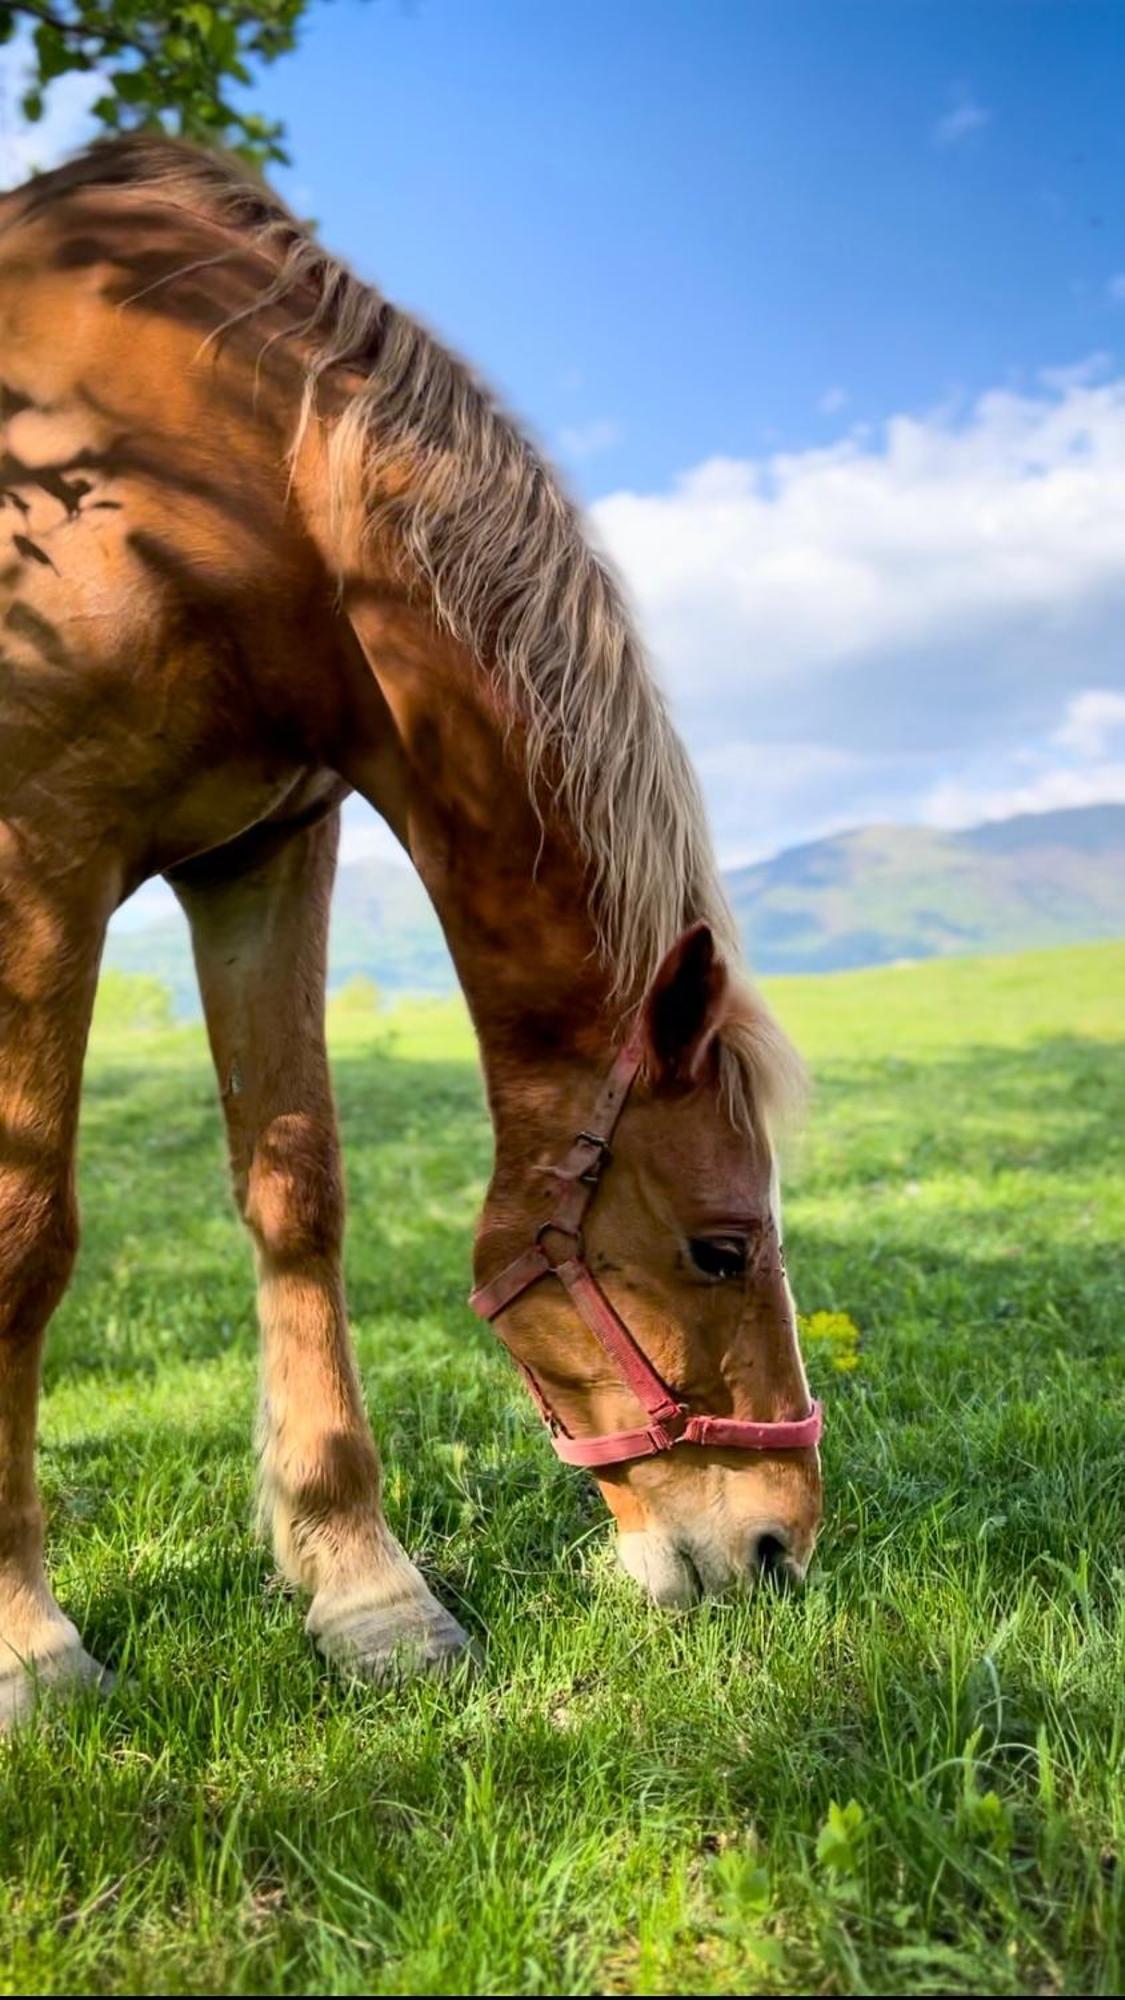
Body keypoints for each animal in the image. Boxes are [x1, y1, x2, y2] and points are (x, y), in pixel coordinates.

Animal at [0, 141, 824, 1728]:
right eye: (718, 1249)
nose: (778, 1550)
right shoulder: (39, 852)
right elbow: (24, 1233)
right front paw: (25, 1639)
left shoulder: (262, 854)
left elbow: (297, 1193)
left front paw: (363, 1590)